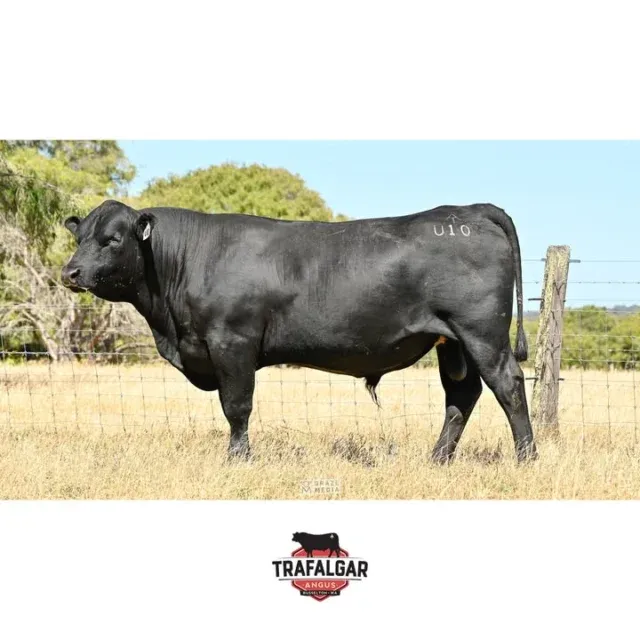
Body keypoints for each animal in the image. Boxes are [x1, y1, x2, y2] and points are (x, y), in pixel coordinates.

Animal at [60, 199, 538, 464]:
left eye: (113, 239)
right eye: (80, 237)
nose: (70, 272)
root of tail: (471, 210)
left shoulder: (231, 342)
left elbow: (236, 407)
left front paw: (238, 460)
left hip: (481, 332)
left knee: (509, 385)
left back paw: (526, 458)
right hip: (452, 342)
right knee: (461, 396)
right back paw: (438, 460)